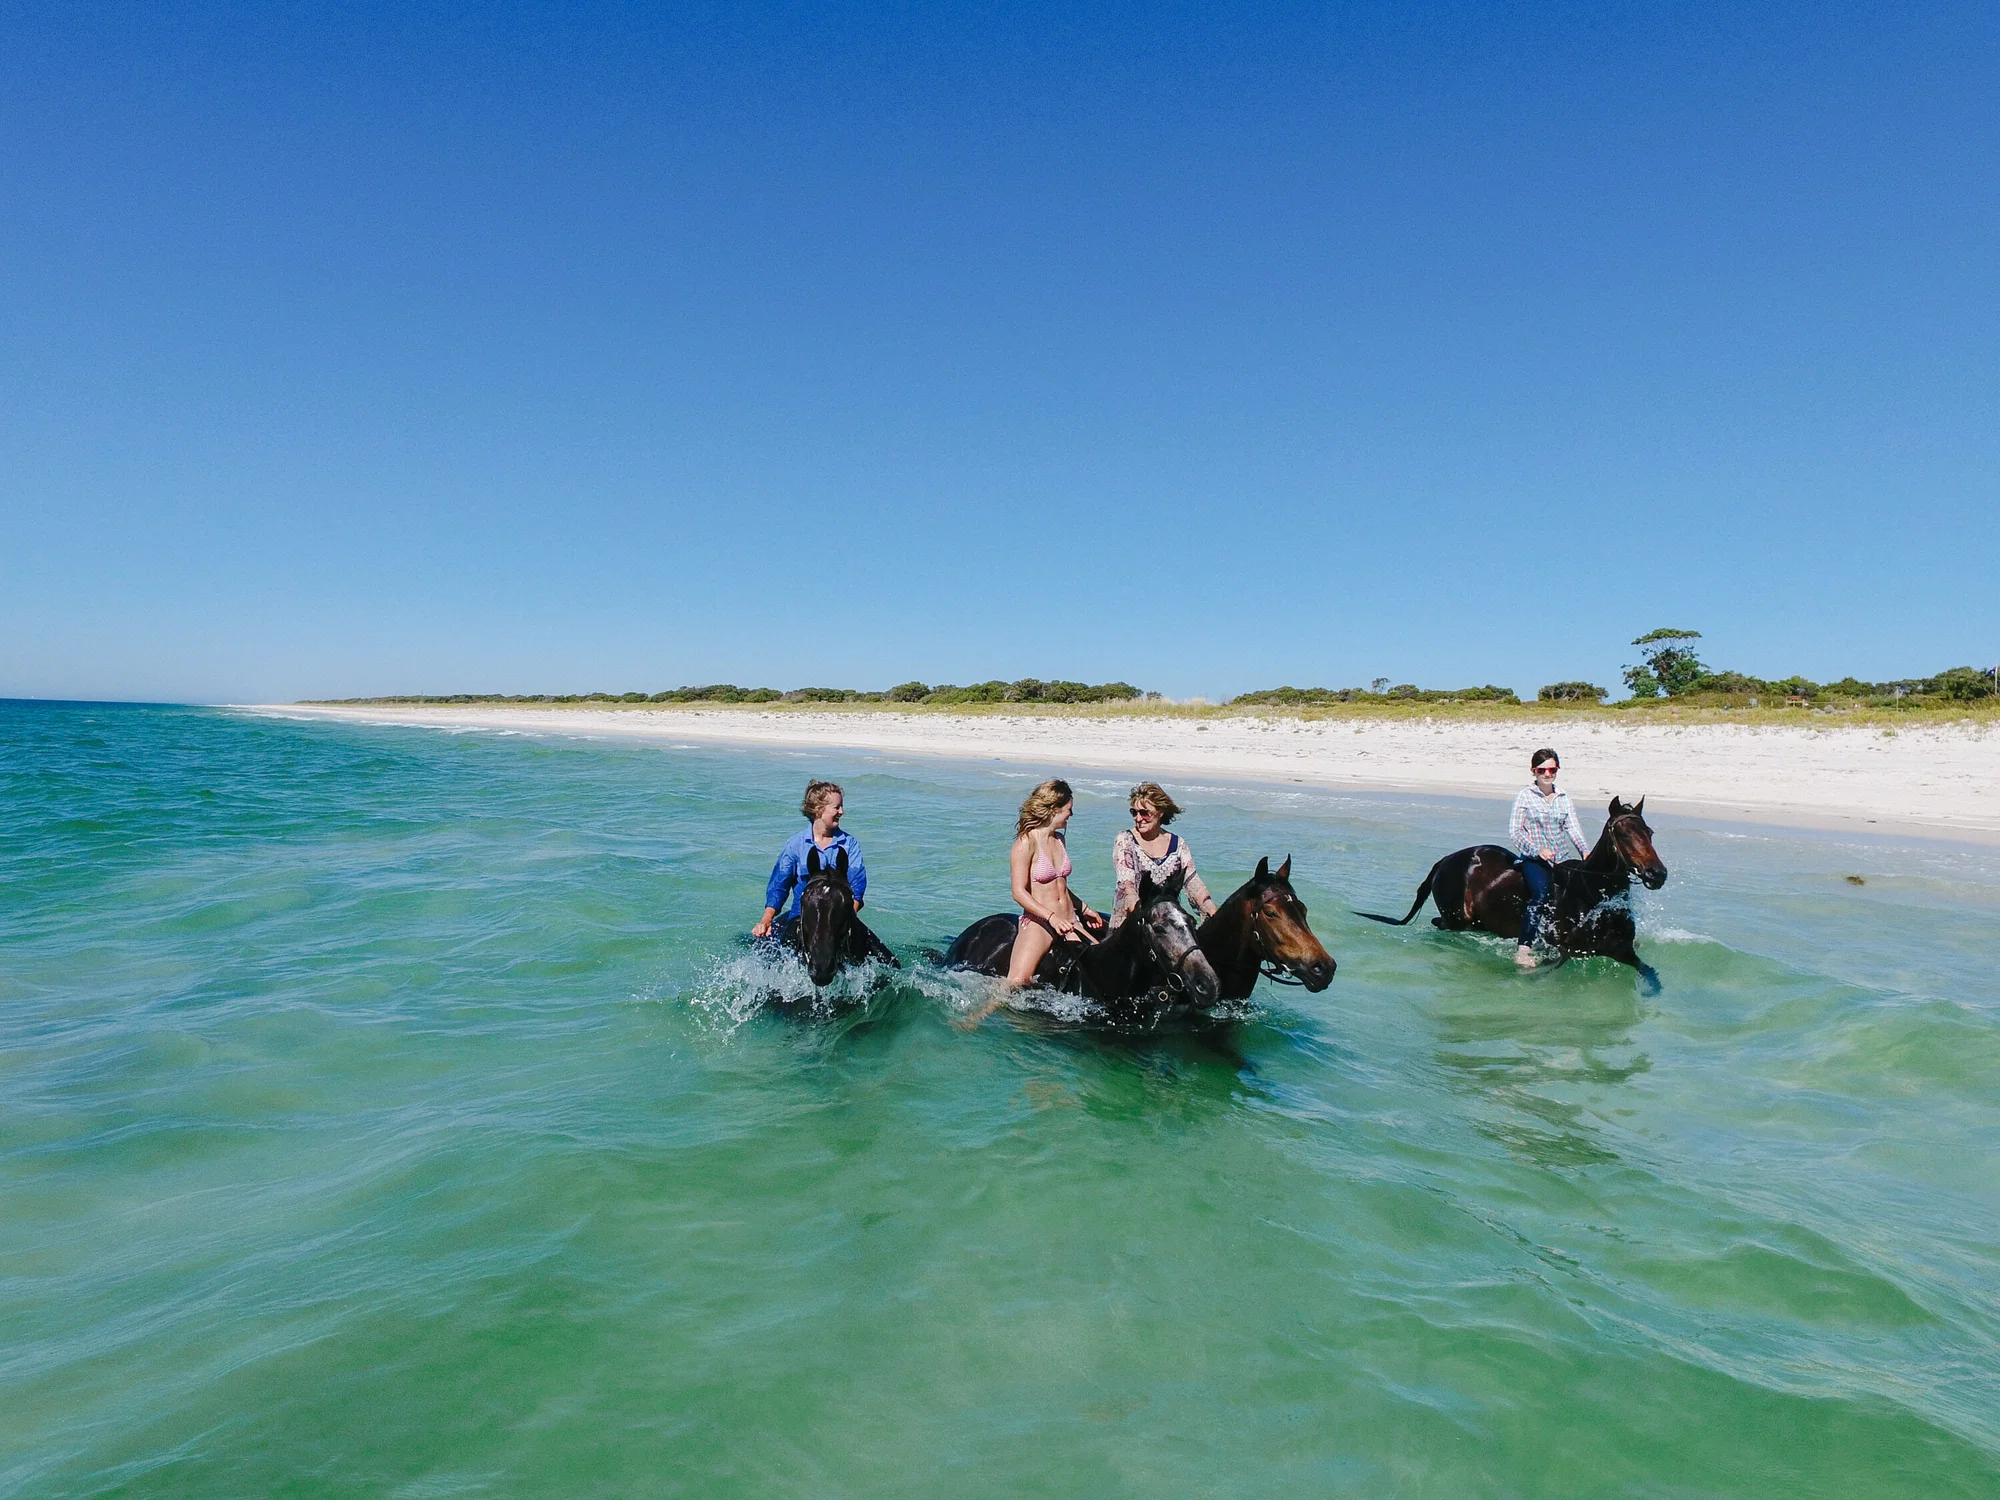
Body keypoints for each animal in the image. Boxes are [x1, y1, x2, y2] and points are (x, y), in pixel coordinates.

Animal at [1354, 798, 1668, 987]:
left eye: (1650, 833)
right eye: (1624, 834)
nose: (1658, 874)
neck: (1591, 897)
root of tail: (1446, 860)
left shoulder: (1623, 951)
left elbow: (1651, 974)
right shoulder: (1563, 952)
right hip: (1457, 918)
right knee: (1441, 924)